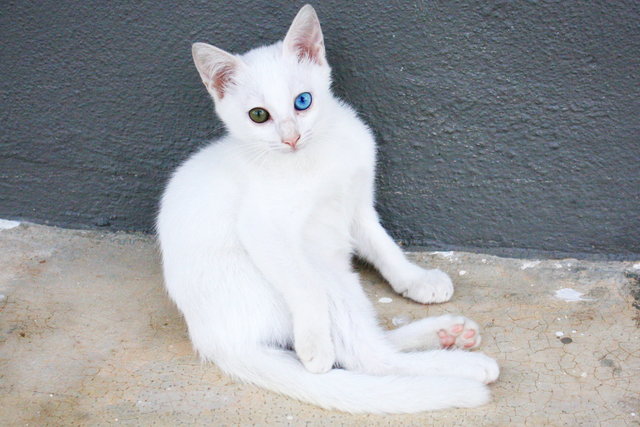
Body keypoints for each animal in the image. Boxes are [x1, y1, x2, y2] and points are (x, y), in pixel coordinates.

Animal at [156, 4, 500, 414]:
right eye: (258, 115)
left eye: (302, 101)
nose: (291, 138)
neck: (316, 156)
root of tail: (215, 340)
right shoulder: (263, 228)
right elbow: (305, 290)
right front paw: (315, 346)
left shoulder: (357, 205)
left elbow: (384, 246)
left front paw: (414, 279)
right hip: (319, 273)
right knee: (366, 356)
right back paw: (462, 364)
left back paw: (448, 334)